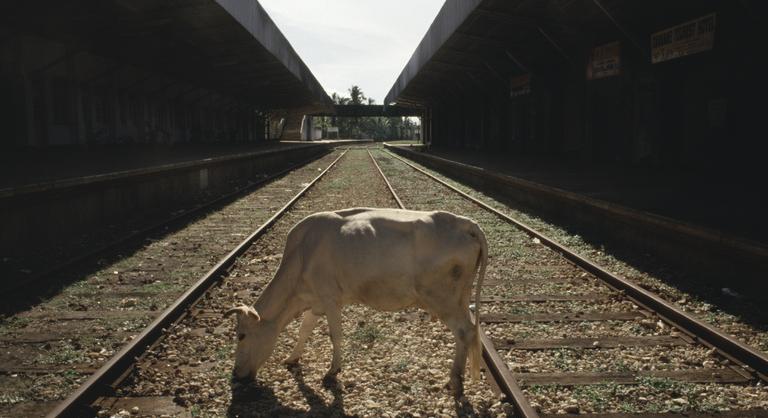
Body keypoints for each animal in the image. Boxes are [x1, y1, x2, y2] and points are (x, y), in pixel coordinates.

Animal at [225, 207, 486, 396]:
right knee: (468, 332)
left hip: (442, 298)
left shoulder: (330, 298)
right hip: (460, 297)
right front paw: (292, 358)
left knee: (464, 332)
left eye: (241, 335)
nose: (235, 373)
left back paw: (455, 381)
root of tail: (464, 222)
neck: (302, 253)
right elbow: (304, 330)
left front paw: (332, 371)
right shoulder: (315, 300)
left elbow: (335, 335)